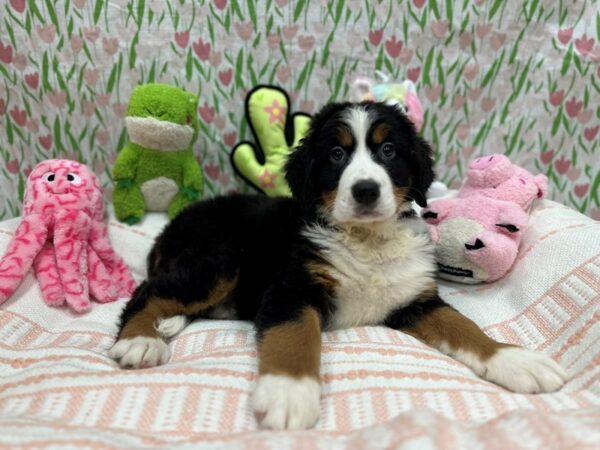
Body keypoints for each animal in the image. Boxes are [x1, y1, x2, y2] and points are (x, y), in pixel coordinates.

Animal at [109, 101, 568, 428]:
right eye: (335, 154)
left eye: (387, 150)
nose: (365, 190)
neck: (367, 241)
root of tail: (176, 223)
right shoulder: (292, 289)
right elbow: (295, 334)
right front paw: (289, 391)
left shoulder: (414, 299)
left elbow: (463, 326)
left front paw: (513, 360)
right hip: (218, 260)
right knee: (147, 291)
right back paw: (140, 340)